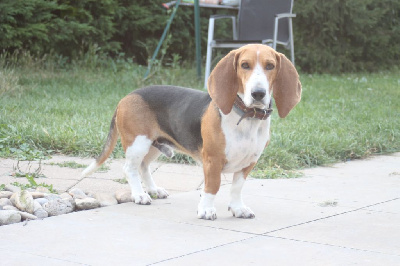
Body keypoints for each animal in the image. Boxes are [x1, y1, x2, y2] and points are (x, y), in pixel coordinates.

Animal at [81, 44, 300, 220]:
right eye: (245, 65)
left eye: (270, 66)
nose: (258, 93)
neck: (247, 117)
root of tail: (126, 97)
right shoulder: (212, 160)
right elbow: (212, 187)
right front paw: (206, 210)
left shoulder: (249, 162)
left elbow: (237, 188)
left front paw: (238, 209)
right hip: (138, 143)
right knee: (130, 169)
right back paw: (140, 195)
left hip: (154, 145)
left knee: (143, 166)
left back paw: (153, 190)